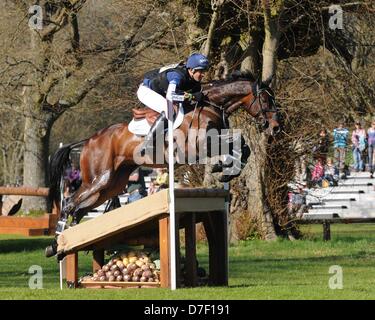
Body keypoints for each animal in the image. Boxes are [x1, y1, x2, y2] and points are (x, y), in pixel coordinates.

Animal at [45, 72, 280, 258]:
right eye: (266, 100)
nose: (276, 127)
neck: (209, 106)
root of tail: (89, 140)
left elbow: (243, 146)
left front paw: (224, 171)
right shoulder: (197, 146)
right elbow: (235, 142)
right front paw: (222, 169)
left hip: (111, 185)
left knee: (80, 209)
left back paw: (66, 244)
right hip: (99, 178)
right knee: (69, 204)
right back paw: (56, 243)